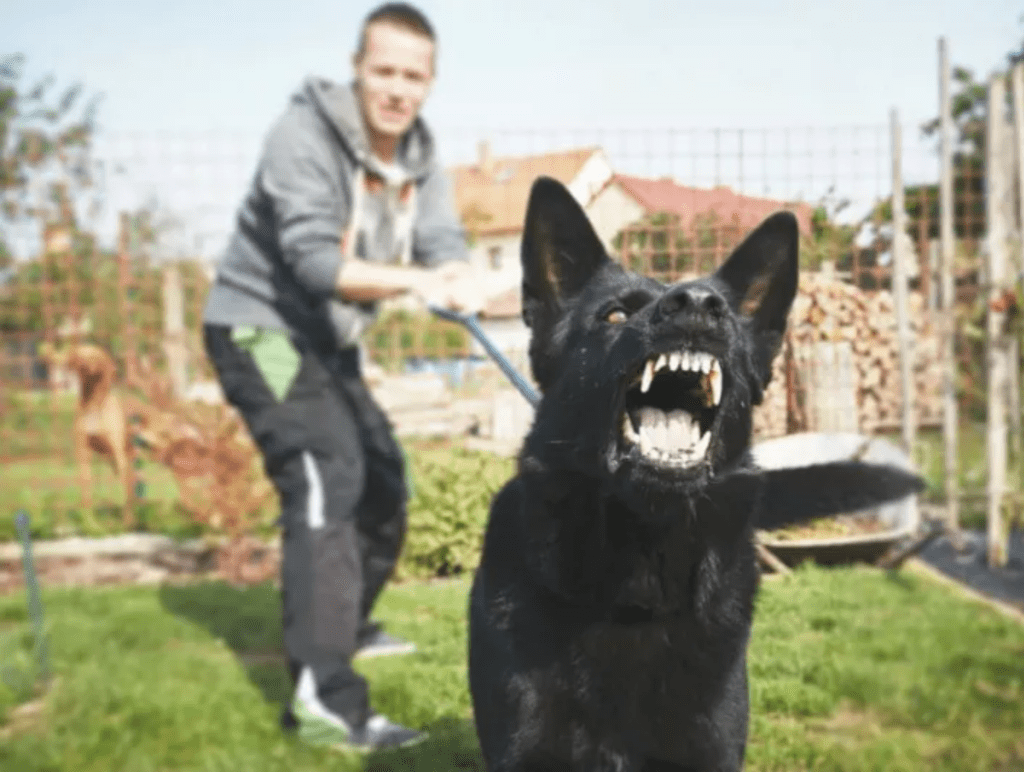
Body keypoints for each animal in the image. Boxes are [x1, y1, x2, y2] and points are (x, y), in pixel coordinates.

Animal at [38, 341, 135, 528]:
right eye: (79, 355)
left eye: (94, 356)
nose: (82, 364)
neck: (93, 404)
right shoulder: (83, 453)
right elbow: (86, 493)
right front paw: (91, 523)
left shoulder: (117, 454)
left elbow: (121, 494)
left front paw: (122, 523)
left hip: (125, 459)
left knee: (127, 488)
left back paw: (127, 519)